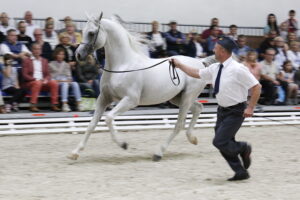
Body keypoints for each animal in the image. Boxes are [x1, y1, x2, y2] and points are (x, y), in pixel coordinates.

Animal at [68, 14, 216, 161]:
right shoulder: (104, 98)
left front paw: (124, 145)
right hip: (177, 98)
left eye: (92, 33)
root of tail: (200, 63)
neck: (122, 65)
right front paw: (75, 153)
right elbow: (91, 125)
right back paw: (192, 138)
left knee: (179, 124)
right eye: (83, 31)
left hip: (187, 97)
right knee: (198, 107)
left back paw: (159, 153)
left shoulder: (130, 100)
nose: (78, 55)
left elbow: (108, 118)